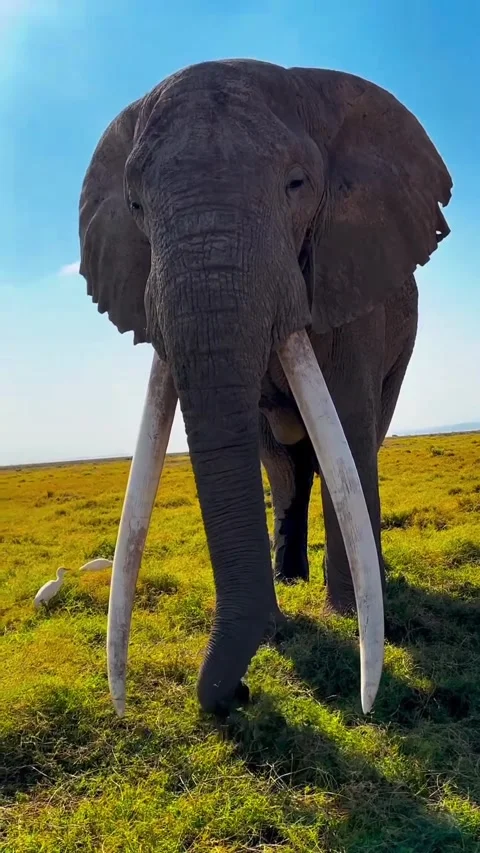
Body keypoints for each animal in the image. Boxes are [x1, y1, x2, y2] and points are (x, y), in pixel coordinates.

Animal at [78, 59, 451, 718]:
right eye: (135, 204)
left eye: (296, 184)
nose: (242, 692)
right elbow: (262, 445)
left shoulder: (349, 271)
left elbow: (347, 427)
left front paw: (346, 614)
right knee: (283, 462)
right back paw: (289, 579)